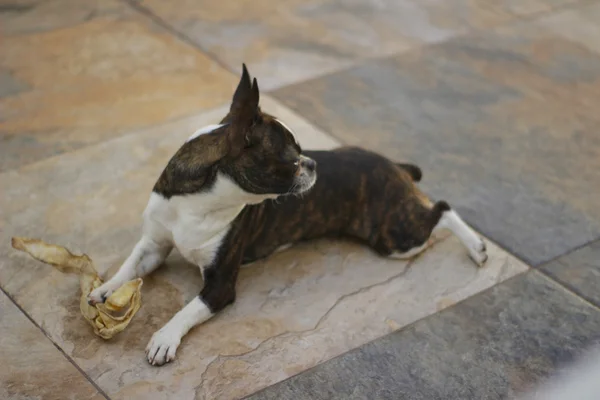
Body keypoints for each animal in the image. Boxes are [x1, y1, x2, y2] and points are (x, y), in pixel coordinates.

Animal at [86, 63, 486, 366]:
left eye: (301, 154)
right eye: (292, 160)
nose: (312, 163)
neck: (197, 204)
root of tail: (393, 166)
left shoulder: (219, 285)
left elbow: (187, 309)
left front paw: (164, 337)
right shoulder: (155, 243)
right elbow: (129, 266)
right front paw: (104, 289)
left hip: (395, 237)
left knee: (441, 209)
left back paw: (477, 247)